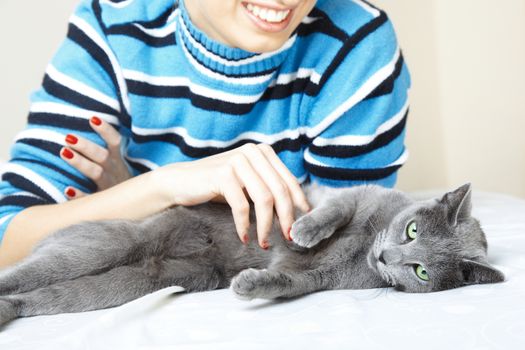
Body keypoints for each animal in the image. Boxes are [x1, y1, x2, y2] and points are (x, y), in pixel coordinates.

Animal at [0, 183, 504, 326]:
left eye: (420, 271)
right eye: (412, 229)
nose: (385, 261)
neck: (365, 246)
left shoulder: (320, 282)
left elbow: (288, 281)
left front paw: (251, 284)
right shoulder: (351, 195)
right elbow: (332, 209)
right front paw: (302, 230)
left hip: (144, 280)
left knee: (57, 294)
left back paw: (10, 309)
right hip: (118, 241)